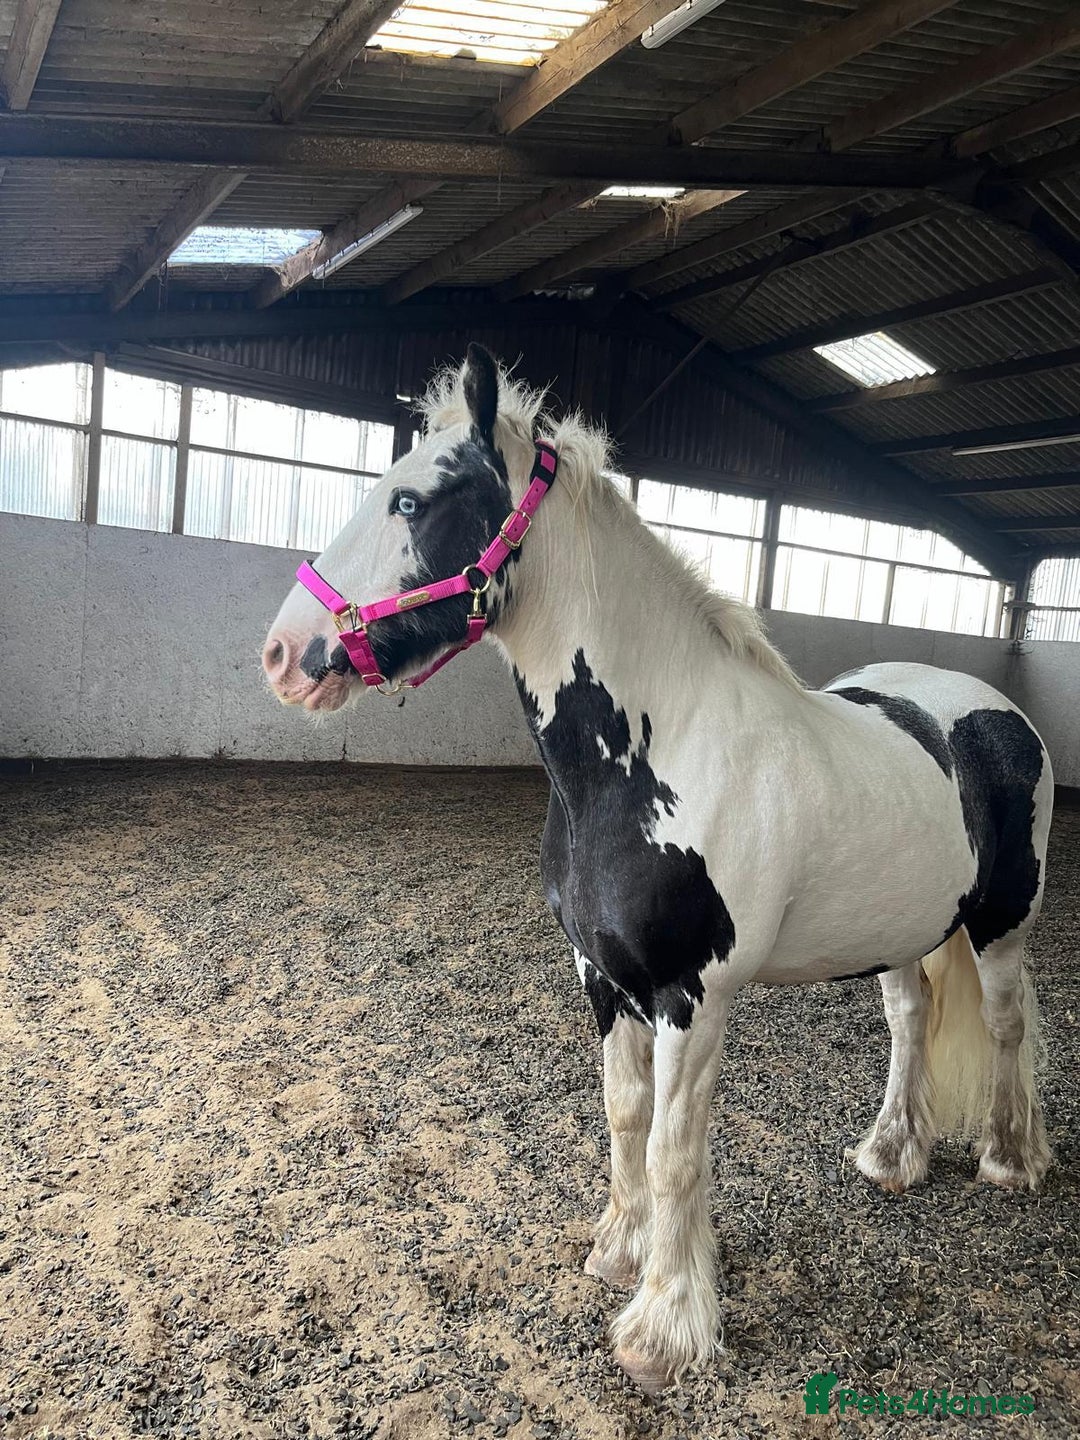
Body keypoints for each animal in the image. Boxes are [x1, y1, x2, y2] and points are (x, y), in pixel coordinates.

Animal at [263, 344, 1054, 1394]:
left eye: (409, 501)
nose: (282, 655)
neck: (653, 752)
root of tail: (988, 709)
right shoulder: (603, 980)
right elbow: (626, 1116)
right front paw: (620, 1250)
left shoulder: (692, 994)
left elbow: (679, 1150)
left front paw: (665, 1327)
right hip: (900, 929)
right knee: (911, 1019)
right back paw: (892, 1154)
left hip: (1003, 921)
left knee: (1005, 1021)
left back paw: (1010, 1157)